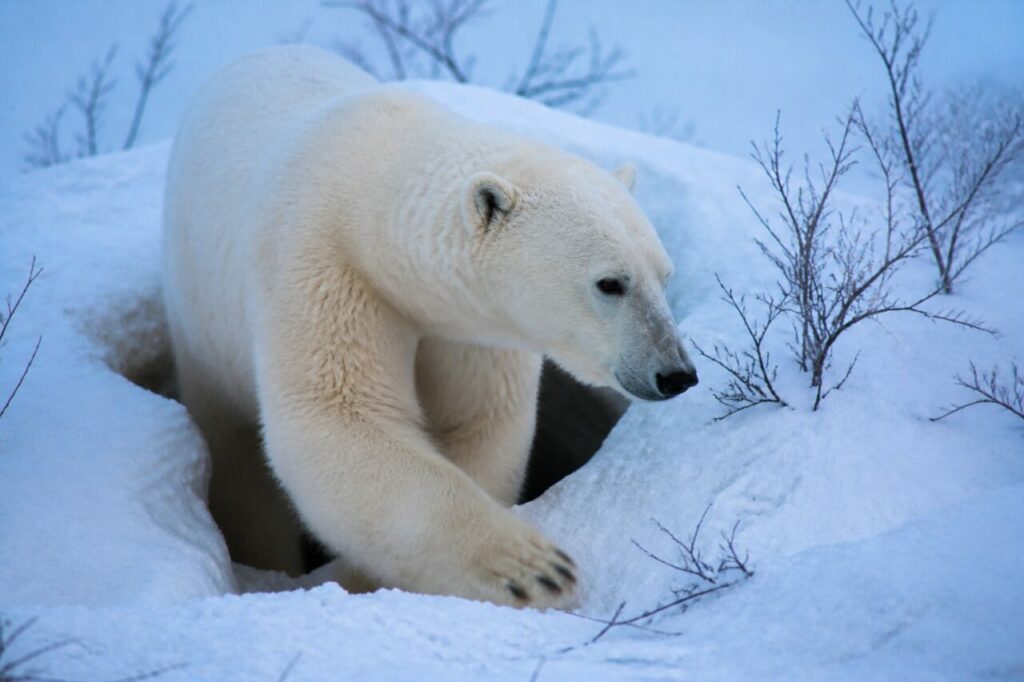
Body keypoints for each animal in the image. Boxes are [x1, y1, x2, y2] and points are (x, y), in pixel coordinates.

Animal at [162, 45, 697, 610]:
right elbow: (336, 417)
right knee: (239, 464)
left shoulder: (467, 326)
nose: (675, 373)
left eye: (664, 276)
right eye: (610, 283)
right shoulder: (320, 264)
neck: (372, 186)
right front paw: (539, 572)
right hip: (202, 322)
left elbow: (478, 424)